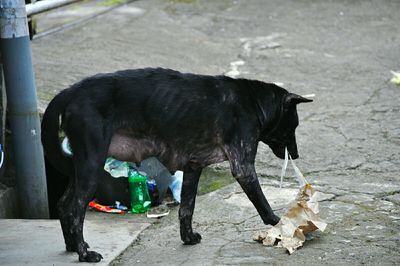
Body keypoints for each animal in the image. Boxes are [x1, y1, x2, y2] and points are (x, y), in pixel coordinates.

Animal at [42, 67, 314, 262]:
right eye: (294, 125)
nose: (297, 154)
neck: (253, 101)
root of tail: (69, 91)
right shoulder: (243, 168)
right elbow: (263, 204)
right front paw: (281, 224)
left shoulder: (193, 168)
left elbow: (186, 208)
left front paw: (188, 237)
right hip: (92, 166)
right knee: (74, 208)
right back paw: (84, 253)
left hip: (81, 168)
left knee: (63, 204)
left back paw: (72, 246)